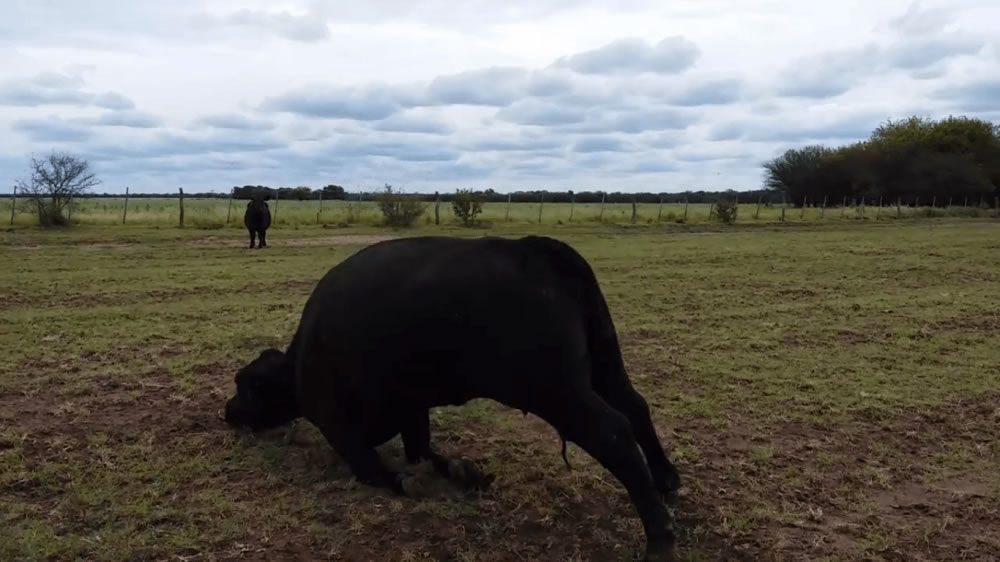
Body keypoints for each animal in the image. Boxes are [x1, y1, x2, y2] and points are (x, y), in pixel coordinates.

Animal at [224, 234, 684, 556]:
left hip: (557, 390)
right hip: (604, 364)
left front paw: (414, 483)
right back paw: (665, 481)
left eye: (244, 385)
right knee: (635, 407)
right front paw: (466, 474)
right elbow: (425, 452)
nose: (228, 411)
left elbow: (375, 469)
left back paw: (659, 538)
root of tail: (534, 248)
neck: (299, 362)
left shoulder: (336, 421)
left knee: (613, 431)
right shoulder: (412, 407)